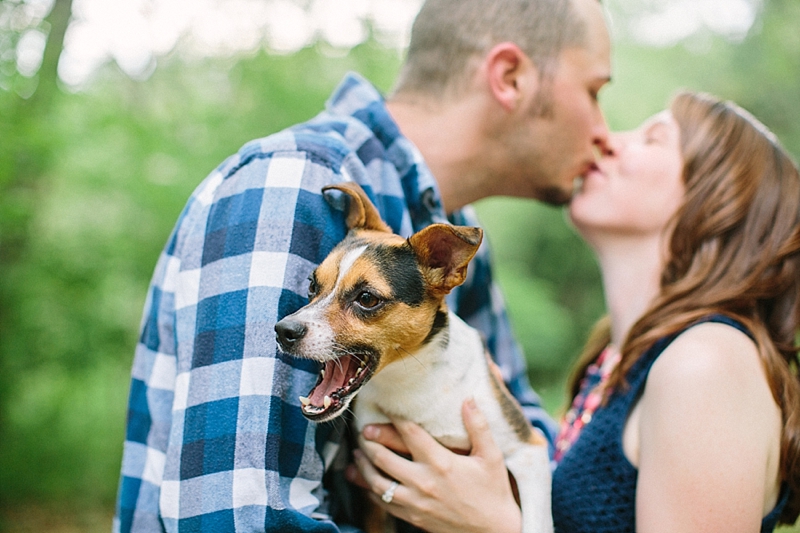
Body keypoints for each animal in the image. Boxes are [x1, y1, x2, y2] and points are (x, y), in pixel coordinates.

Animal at [276, 181, 552, 528]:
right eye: (312, 286)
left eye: (367, 298)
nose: (283, 330)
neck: (408, 379)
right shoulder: (375, 501)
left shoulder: (529, 451)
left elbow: (537, 523)